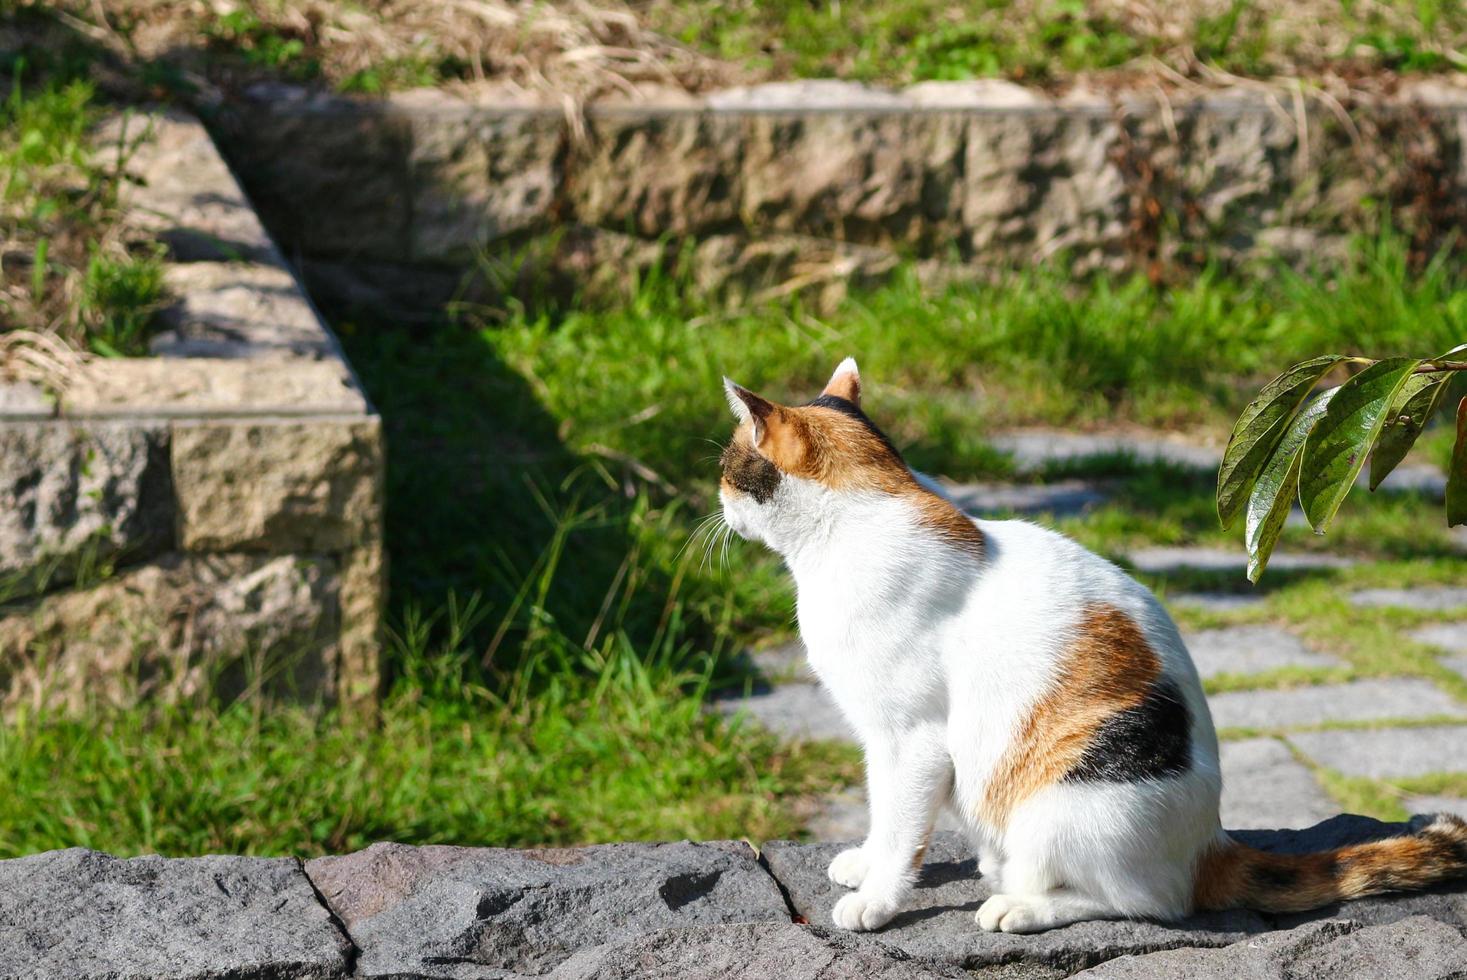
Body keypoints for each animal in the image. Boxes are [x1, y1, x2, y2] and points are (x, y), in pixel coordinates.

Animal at [718, 357, 1467, 933]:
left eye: (726, 467)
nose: (716, 501)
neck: (862, 515)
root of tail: (1210, 845)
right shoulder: (879, 741)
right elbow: (881, 812)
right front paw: (865, 861)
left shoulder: (913, 740)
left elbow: (903, 826)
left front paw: (877, 899)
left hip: (1063, 805)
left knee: (1148, 903)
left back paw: (1019, 906)